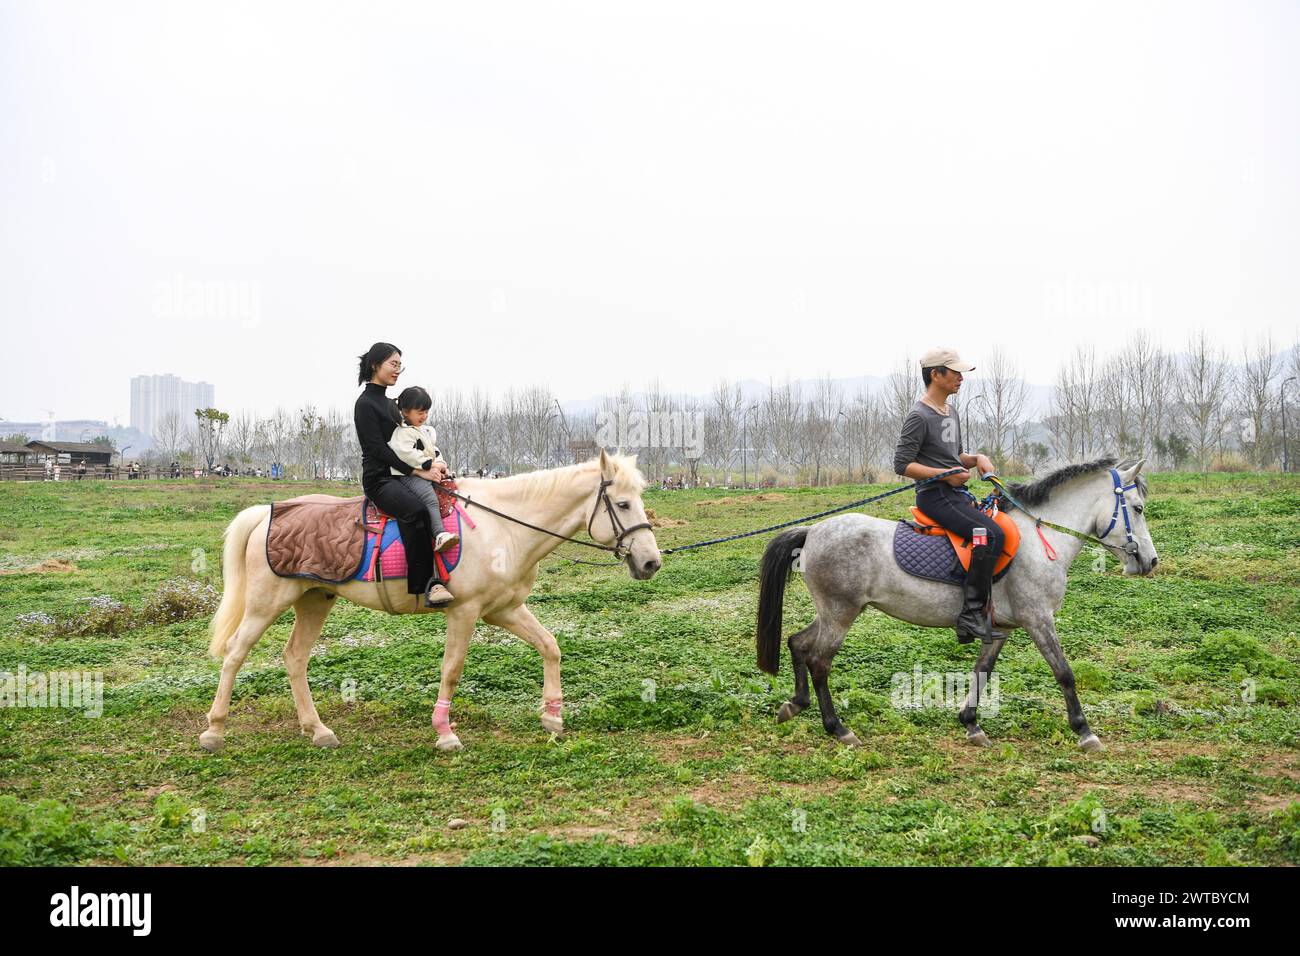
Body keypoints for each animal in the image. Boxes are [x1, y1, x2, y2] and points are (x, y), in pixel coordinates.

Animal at [200, 451, 661, 753]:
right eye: (623, 504)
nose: (651, 562)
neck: (502, 527)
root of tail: (267, 512)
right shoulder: (465, 611)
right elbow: (452, 670)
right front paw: (445, 733)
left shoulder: (504, 610)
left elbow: (550, 647)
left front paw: (552, 716)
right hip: (265, 604)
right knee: (235, 654)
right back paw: (215, 731)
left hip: (315, 599)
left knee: (294, 657)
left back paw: (318, 730)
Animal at [755, 457, 1158, 752]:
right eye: (1138, 508)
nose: (1150, 562)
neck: (1038, 537)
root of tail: (813, 531)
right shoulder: (1038, 619)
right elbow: (1064, 672)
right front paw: (1085, 731)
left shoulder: (1002, 628)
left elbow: (982, 670)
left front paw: (971, 723)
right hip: (841, 613)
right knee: (819, 661)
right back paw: (838, 728)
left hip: (831, 612)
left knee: (798, 643)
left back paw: (795, 704)